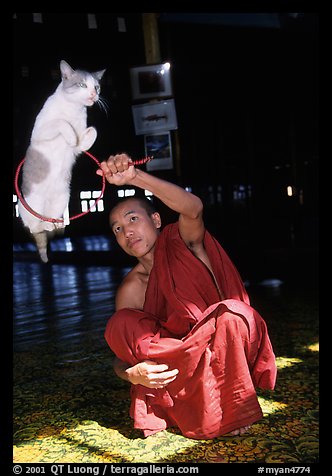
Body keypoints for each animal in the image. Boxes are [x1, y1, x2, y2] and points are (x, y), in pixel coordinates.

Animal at [17, 59, 105, 264]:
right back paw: (41, 227)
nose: (93, 94)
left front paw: (85, 133)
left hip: (62, 199)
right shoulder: (42, 133)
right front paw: (70, 136)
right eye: (82, 85)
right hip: (31, 203)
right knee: (34, 226)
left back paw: (54, 225)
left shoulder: (80, 145)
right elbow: (61, 123)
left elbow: (91, 132)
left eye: (97, 87)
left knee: (47, 220)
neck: (73, 109)